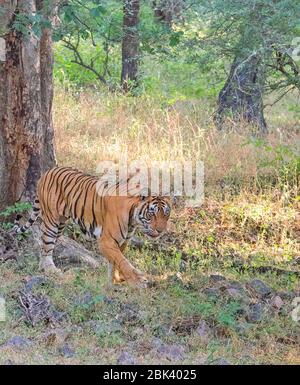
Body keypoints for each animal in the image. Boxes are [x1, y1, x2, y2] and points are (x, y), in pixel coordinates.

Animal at [13, 165, 171, 284]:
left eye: (166, 214)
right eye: (152, 214)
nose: (160, 230)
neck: (133, 220)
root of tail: (47, 171)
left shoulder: (123, 241)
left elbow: (116, 260)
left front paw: (115, 279)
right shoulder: (106, 241)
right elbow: (123, 261)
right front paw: (137, 281)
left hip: (61, 223)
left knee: (44, 243)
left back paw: (42, 267)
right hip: (53, 220)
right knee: (47, 244)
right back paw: (51, 270)